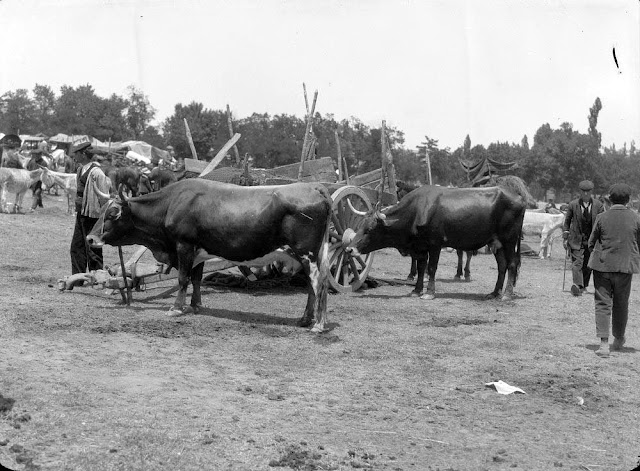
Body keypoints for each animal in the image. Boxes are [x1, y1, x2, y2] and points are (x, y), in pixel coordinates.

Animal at [86, 179, 332, 332]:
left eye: (113, 213)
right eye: (101, 211)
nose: (90, 239)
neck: (171, 203)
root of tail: (314, 187)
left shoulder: (184, 246)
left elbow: (182, 278)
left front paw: (176, 308)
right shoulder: (199, 252)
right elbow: (196, 278)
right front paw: (195, 305)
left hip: (307, 254)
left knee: (319, 284)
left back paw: (318, 325)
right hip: (307, 257)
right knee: (312, 286)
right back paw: (305, 319)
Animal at [347, 185, 526, 301]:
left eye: (370, 229)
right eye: (360, 225)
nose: (349, 249)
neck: (417, 210)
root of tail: (518, 197)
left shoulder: (435, 244)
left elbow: (431, 268)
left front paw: (429, 292)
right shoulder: (420, 247)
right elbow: (421, 267)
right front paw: (416, 290)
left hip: (509, 240)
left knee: (512, 264)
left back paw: (507, 294)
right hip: (496, 243)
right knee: (502, 266)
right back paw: (494, 293)